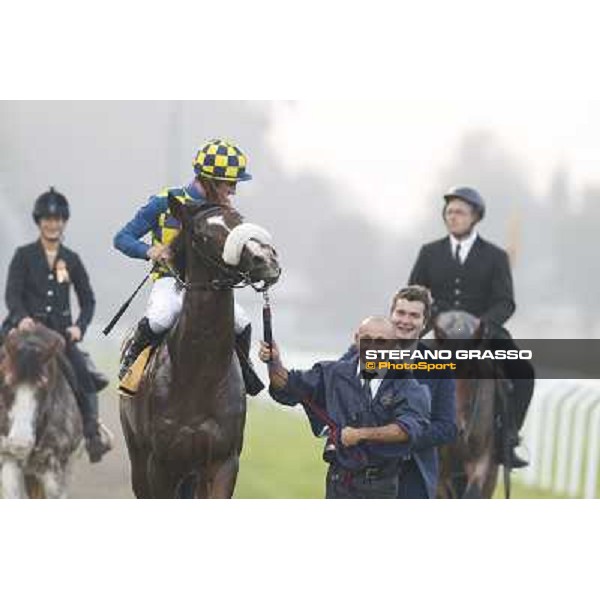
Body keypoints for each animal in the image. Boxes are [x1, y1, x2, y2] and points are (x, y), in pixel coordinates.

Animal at [122, 199, 284, 500]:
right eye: (202, 235)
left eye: (239, 219)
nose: (265, 259)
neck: (199, 374)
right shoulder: (159, 464)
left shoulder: (223, 461)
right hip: (138, 458)